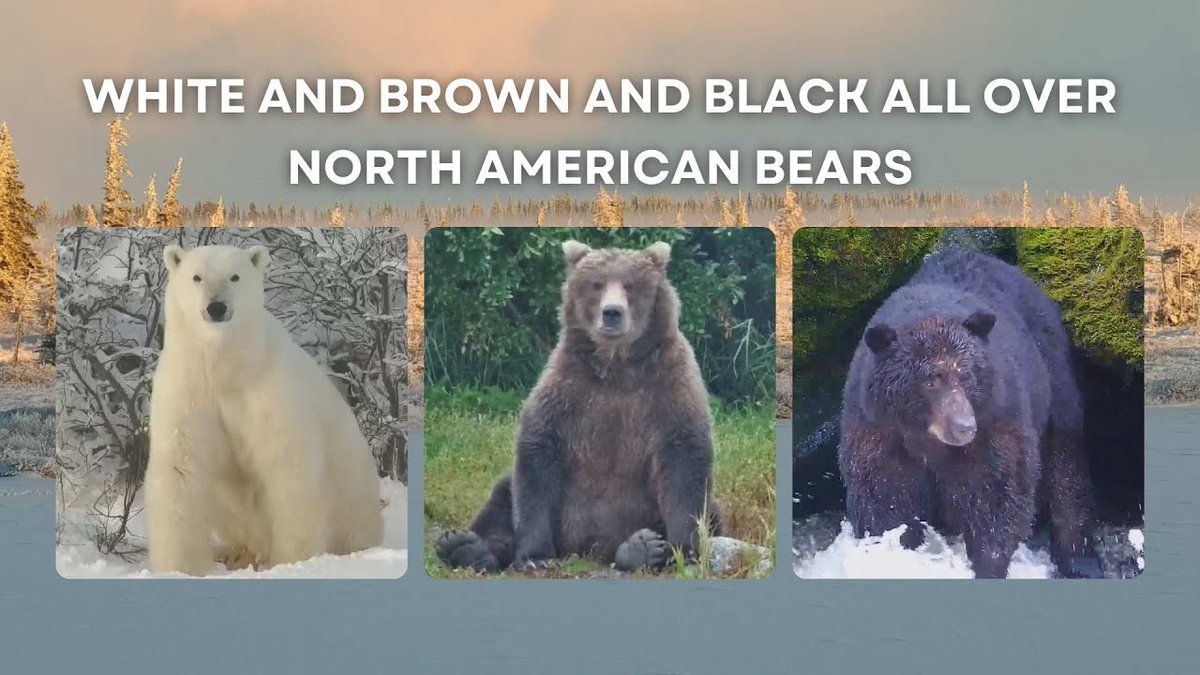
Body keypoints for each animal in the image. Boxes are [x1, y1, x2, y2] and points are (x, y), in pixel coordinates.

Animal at [145, 244, 383, 576]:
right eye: (196, 277)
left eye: (235, 276)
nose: (216, 307)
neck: (227, 368)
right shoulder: (189, 388)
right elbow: (181, 465)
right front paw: (178, 568)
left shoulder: (268, 388)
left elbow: (287, 462)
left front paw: (295, 560)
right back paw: (234, 553)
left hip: (351, 482)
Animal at [436, 240, 722, 573]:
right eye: (596, 284)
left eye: (630, 285)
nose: (612, 312)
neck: (616, 365)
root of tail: (590, 550)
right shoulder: (568, 387)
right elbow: (539, 454)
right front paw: (535, 556)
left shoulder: (667, 385)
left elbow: (684, 460)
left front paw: (684, 550)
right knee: (502, 497)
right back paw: (465, 547)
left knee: (711, 511)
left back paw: (641, 548)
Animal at [838, 247, 1098, 578]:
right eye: (930, 380)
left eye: (966, 374)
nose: (964, 427)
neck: (927, 439)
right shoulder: (878, 431)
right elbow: (885, 501)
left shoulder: (995, 423)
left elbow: (997, 496)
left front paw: (988, 563)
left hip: (1053, 379)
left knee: (1065, 461)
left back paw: (1077, 555)